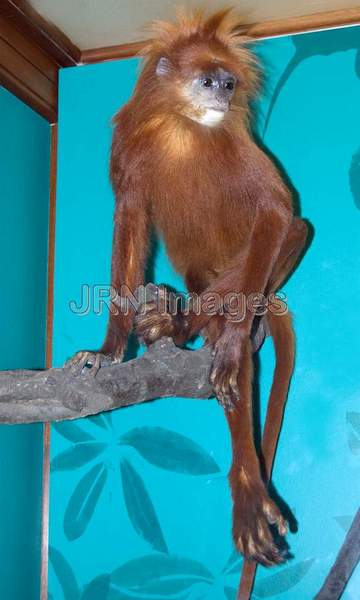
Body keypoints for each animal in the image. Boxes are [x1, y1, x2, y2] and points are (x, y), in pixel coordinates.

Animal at [68, 8, 310, 572]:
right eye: (207, 81)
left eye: (228, 83)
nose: (223, 96)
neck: (183, 127)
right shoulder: (132, 152)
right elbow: (131, 221)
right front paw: (110, 349)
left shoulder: (236, 147)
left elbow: (279, 214)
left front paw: (215, 338)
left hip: (260, 278)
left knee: (289, 237)